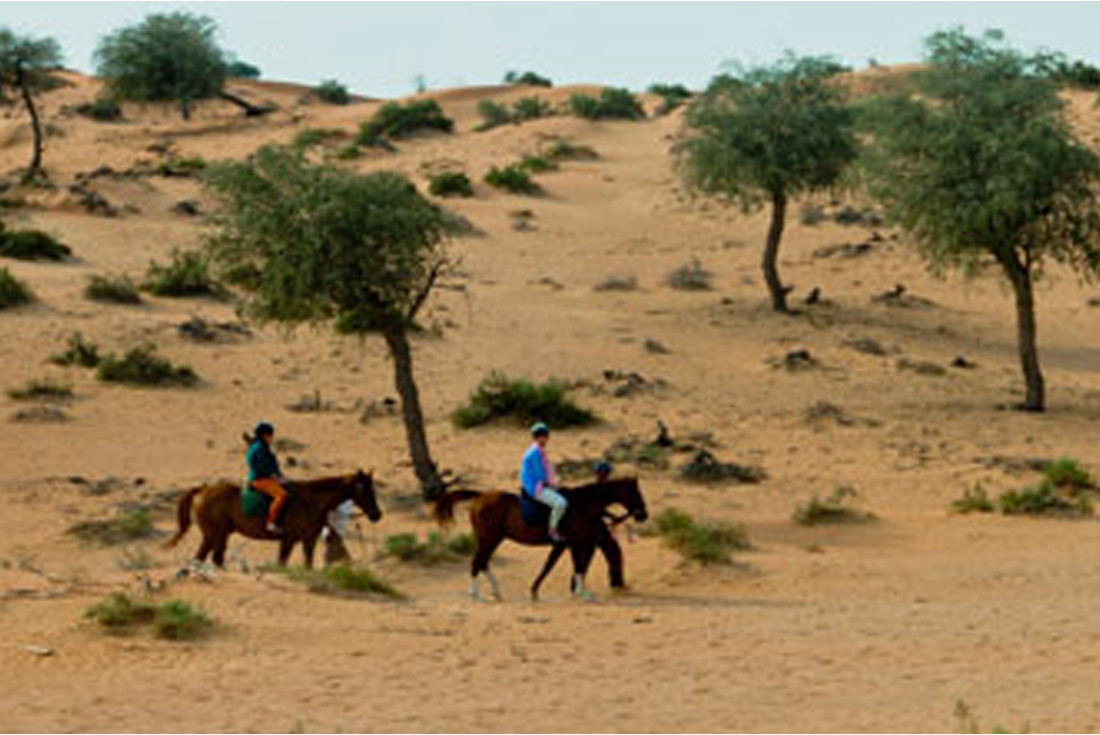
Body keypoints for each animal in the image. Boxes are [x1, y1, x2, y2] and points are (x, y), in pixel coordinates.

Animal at [167, 470, 382, 568]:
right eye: (364, 489)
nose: (377, 515)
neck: (311, 500)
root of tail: (203, 489)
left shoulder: (308, 541)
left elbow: (307, 564)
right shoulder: (288, 540)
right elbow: (281, 563)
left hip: (222, 535)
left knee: (215, 558)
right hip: (212, 535)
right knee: (200, 557)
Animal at [433, 477, 648, 601]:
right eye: (635, 492)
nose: (643, 515)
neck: (583, 505)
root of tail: (480, 496)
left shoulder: (569, 544)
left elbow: (570, 565)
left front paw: (574, 590)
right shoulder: (571, 543)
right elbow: (567, 565)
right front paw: (581, 592)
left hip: (492, 539)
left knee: (483, 562)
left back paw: (496, 591)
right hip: (489, 539)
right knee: (477, 562)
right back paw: (475, 593)